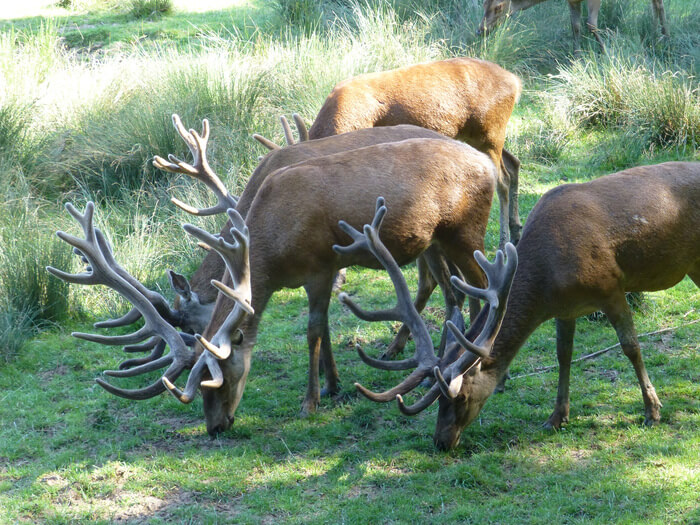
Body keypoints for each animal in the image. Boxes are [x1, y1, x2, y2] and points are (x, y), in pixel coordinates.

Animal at [308, 56, 524, 249]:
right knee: (513, 162)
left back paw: (503, 242)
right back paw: (516, 231)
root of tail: (515, 82)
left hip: (490, 133)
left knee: (502, 180)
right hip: (478, 136)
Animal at [348, 161, 696, 450]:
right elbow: (563, 355)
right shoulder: (566, 308)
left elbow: (631, 347)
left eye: (460, 397)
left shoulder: (610, 287)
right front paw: (556, 417)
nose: (441, 442)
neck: (548, 279)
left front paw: (652, 410)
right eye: (437, 401)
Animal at [478, 0, 668, 53]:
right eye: (483, 3)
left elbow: (591, 24)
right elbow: (575, 26)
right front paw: (576, 58)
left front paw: (607, 53)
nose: (480, 30)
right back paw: (654, 35)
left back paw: (666, 38)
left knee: (659, 4)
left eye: (499, 7)